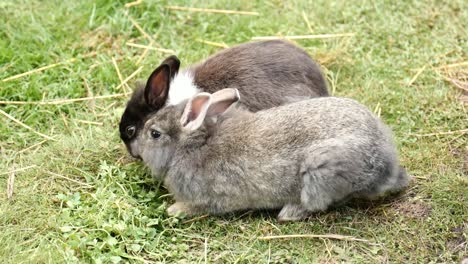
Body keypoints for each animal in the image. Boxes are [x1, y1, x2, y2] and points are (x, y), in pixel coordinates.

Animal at [133, 88, 410, 221]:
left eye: (154, 134)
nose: (138, 150)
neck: (193, 145)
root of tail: (388, 165)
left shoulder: (209, 199)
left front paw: (173, 210)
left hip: (320, 170)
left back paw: (290, 213)